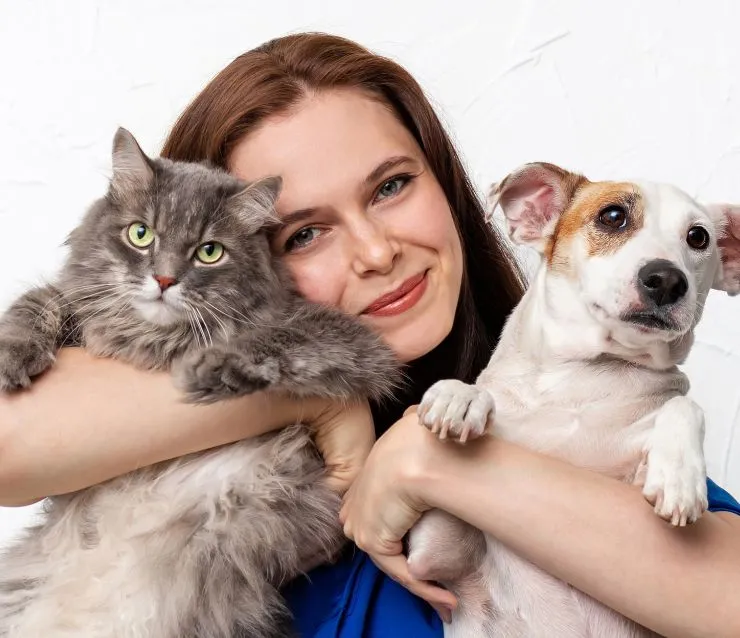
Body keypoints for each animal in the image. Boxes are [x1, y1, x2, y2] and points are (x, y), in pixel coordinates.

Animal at [0, 129, 402, 638]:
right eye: (141, 234)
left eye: (209, 252)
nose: (164, 279)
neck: (154, 341)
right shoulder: (69, 301)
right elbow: (36, 305)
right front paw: (12, 354)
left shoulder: (354, 342)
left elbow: (274, 338)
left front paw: (211, 367)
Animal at [404, 164, 740, 638]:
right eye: (613, 216)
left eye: (698, 237)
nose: (667, 279)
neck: (580, 377)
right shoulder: (435, 557)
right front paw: (460, 395)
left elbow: (684, 406)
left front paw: (679, 476)